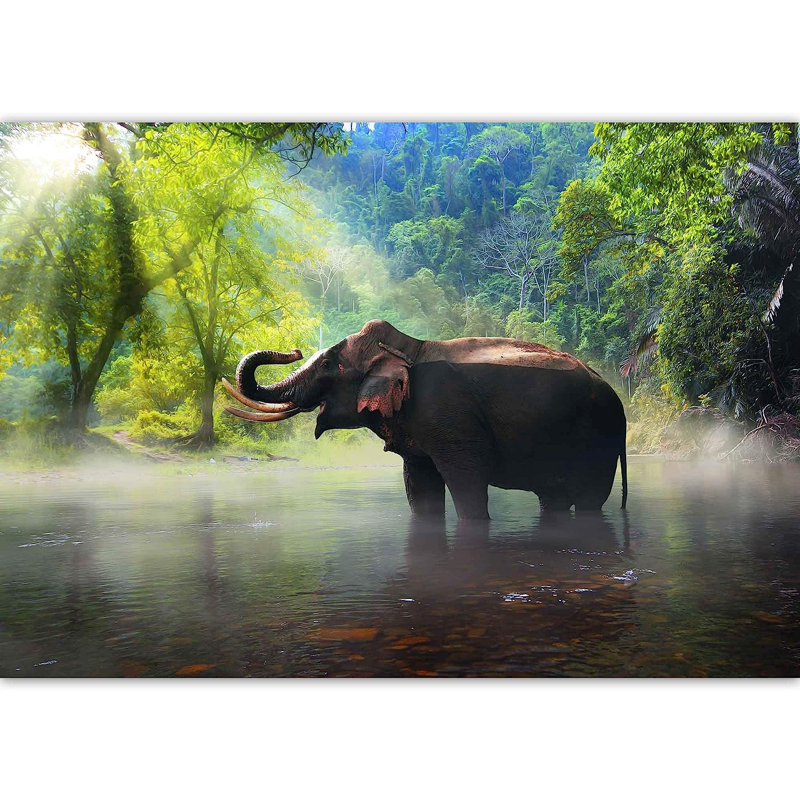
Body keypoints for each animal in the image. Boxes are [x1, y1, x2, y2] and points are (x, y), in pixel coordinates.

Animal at [222, 319, 627, 520]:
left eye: (326, 365)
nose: (293, 349)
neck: (408, 347)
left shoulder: (450, 417)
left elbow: (466, 482)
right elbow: (419, 486)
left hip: (600, 437)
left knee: (590, 499)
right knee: (554, 498)